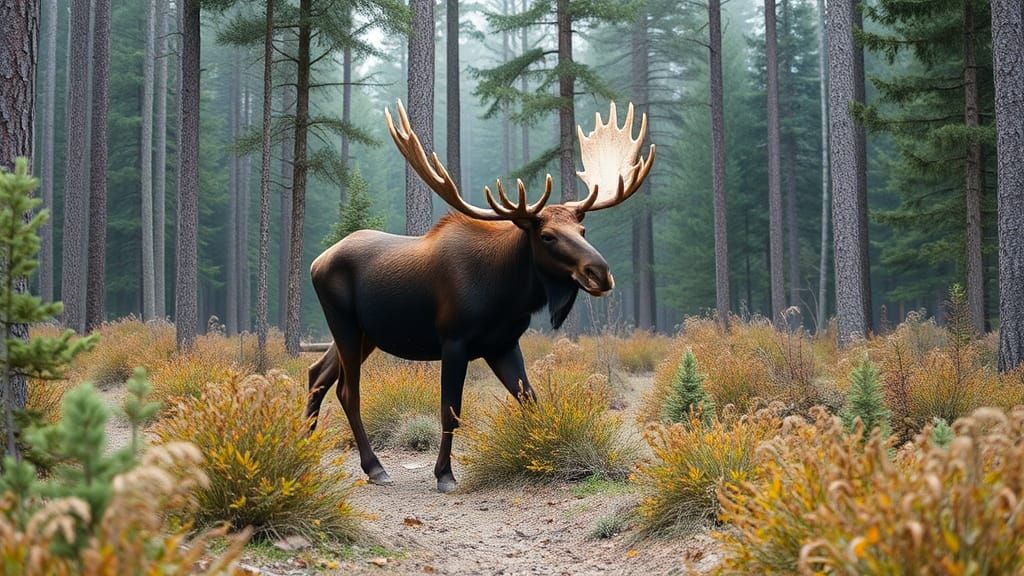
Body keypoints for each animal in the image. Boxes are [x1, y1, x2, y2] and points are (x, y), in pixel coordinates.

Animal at [306, 101, 655, 493]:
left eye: (582, 229)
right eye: (547, 236)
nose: (600, 272)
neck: (507, 296)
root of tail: (316, 263)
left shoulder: (502, 343)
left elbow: (529, 398)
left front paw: (547, 454)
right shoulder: (454, 341)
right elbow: (451, 410)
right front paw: (444, 474)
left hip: (366, 334)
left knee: (317, 374)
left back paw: (305, 449)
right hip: (345, 325)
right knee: (347, 392)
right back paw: (374, 467)